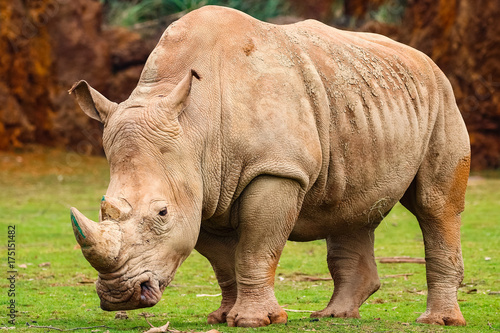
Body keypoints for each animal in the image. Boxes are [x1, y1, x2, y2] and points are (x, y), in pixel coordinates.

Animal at [69, 5, 468, 326]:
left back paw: (438, 321)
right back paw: (334, 316)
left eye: (162, 213)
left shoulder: (276, 169)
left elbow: (256, 249)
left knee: (436, 206)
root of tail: (423, 58)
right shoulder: (203, 188)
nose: (120, 295)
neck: (195, 126)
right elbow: (223, 262)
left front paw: (254, 320)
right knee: (351, 206)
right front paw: (222, 317)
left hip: (443, 97)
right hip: (364, 103)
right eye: (102, 207)